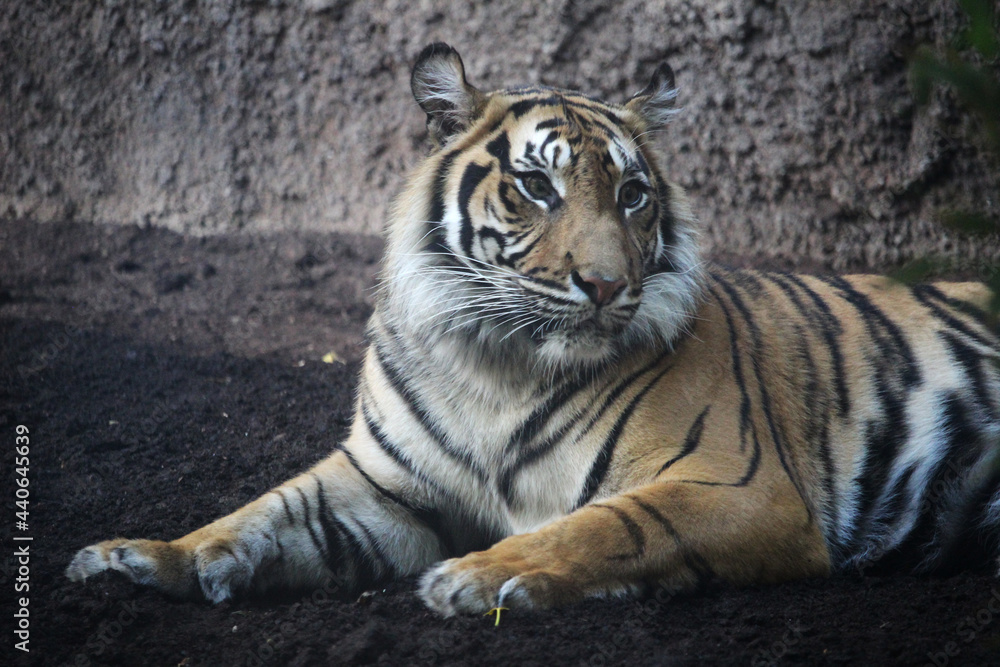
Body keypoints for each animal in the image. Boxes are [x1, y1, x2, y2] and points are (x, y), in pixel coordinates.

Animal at [67, 43, 1000, 617]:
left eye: (633, 195)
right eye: (537, 188)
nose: (607, 284)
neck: (494, 363)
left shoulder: (740, 484)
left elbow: (606, 523)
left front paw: (481, 574)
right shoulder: (382, 483)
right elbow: (264, 510)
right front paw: (143, 556)